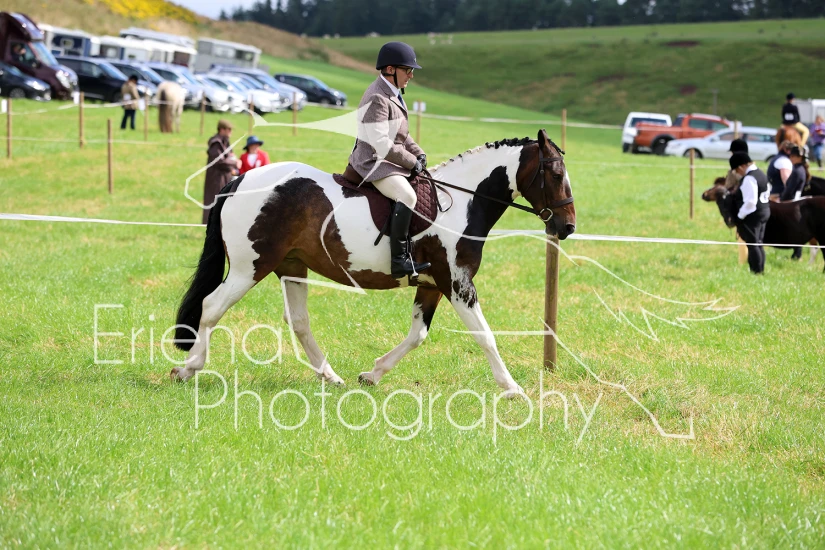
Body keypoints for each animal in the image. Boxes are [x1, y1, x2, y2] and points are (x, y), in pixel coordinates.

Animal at [171, 130, 576, 394]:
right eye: (556, 174)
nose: (567, 227)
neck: (462, 203)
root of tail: (239, 180)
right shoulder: (457, 283)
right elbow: (485, 335)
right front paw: (512, 388)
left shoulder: (432, 285)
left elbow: (417, 335)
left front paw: (373, 374)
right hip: (249, 267)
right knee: (212, 306)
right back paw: (189, 368)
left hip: (292, 266)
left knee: (299, 322)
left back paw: (330, 377)